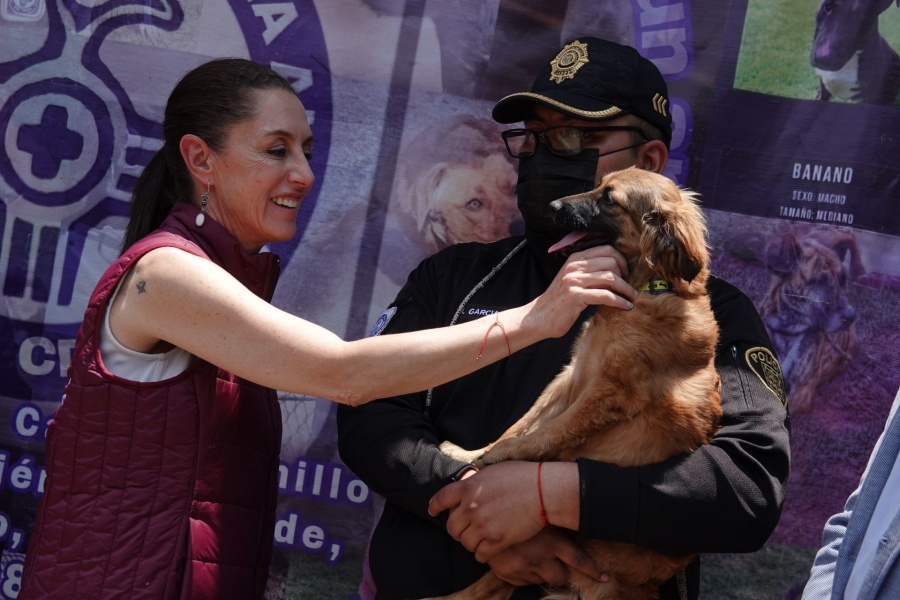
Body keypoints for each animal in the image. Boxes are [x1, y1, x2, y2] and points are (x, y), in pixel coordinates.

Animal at [436, 168, 724, 600]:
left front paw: (494, 459)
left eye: (609, 199)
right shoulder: (572, 373)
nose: (553, 206)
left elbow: (544, 435)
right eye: (599, 183)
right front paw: (471, 452)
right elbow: (523, 424)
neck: (644, 292)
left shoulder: (609, 392)